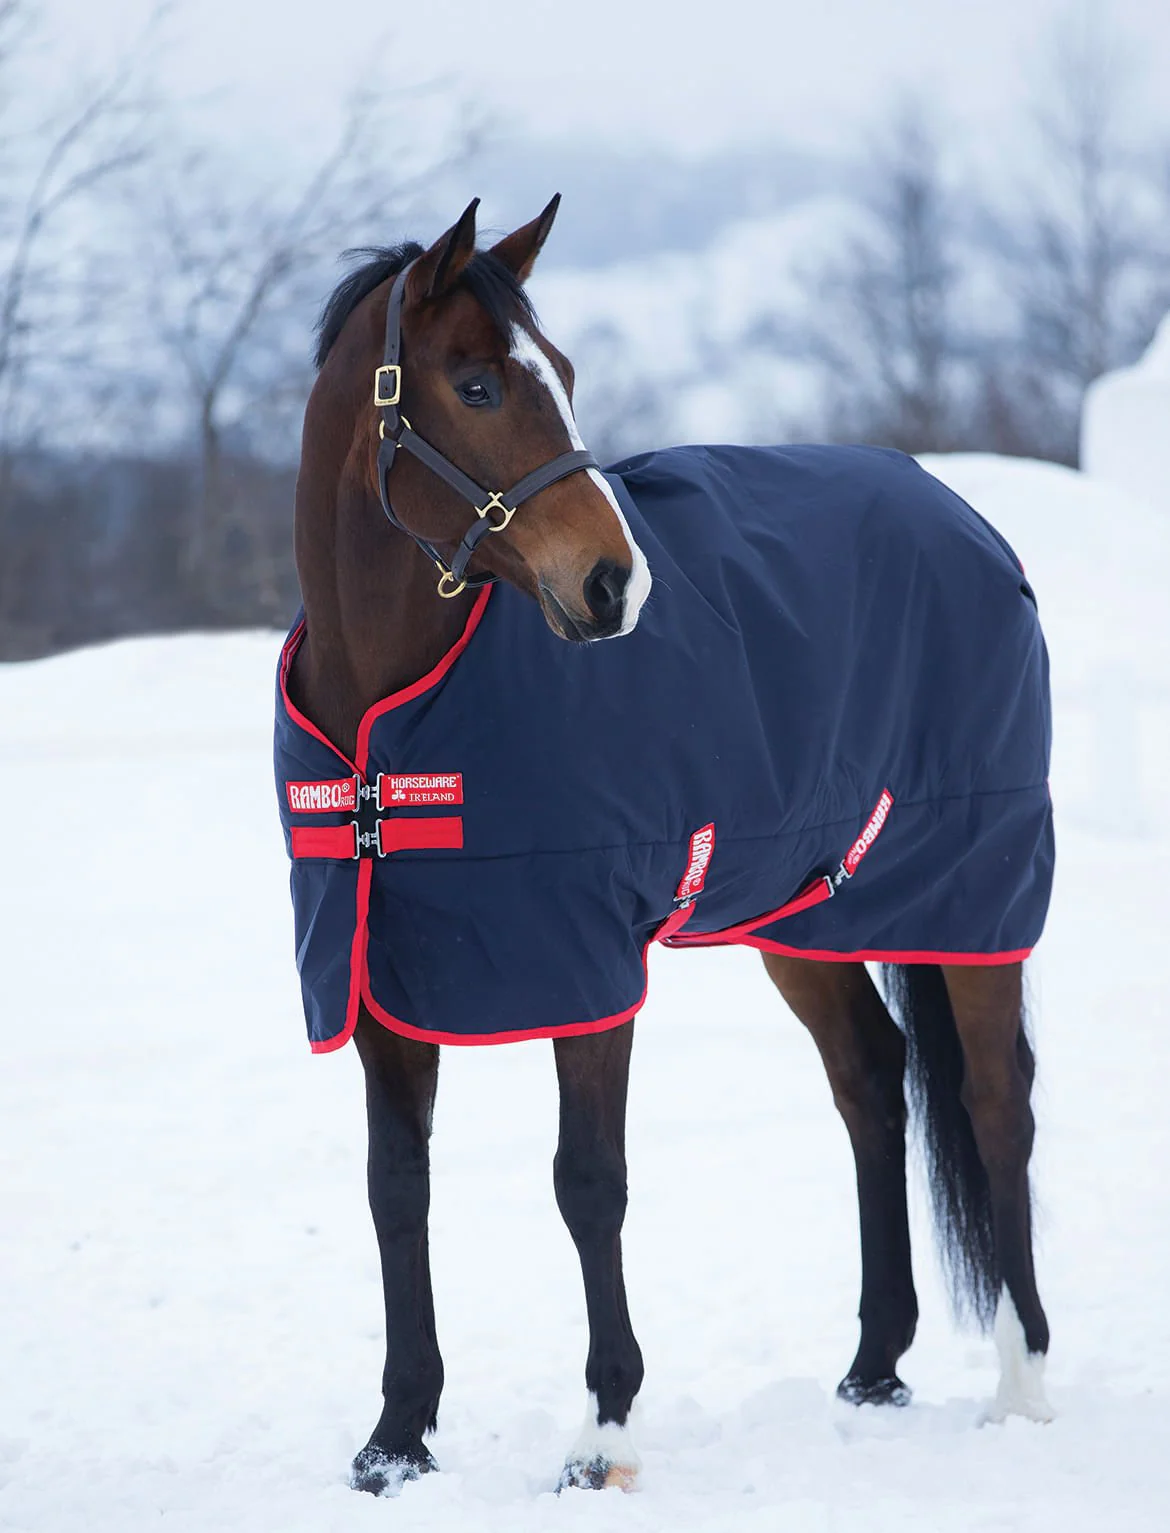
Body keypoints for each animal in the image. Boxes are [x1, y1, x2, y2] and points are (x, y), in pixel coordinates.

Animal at [278, 196, 1054, 1495]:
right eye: (477, 384)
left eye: (563, 372)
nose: (614, 585)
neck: (392, 720)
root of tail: (968, 522)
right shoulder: (382, 976)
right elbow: (399, 1191)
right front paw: (396, 1441)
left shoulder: (591, 971)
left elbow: (589, 1185)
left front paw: (604, 1438)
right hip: (805, 916)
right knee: (873, 1083)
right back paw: (873, 1369)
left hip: (974, 903)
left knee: (996, 1105)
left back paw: (1023, 1387)